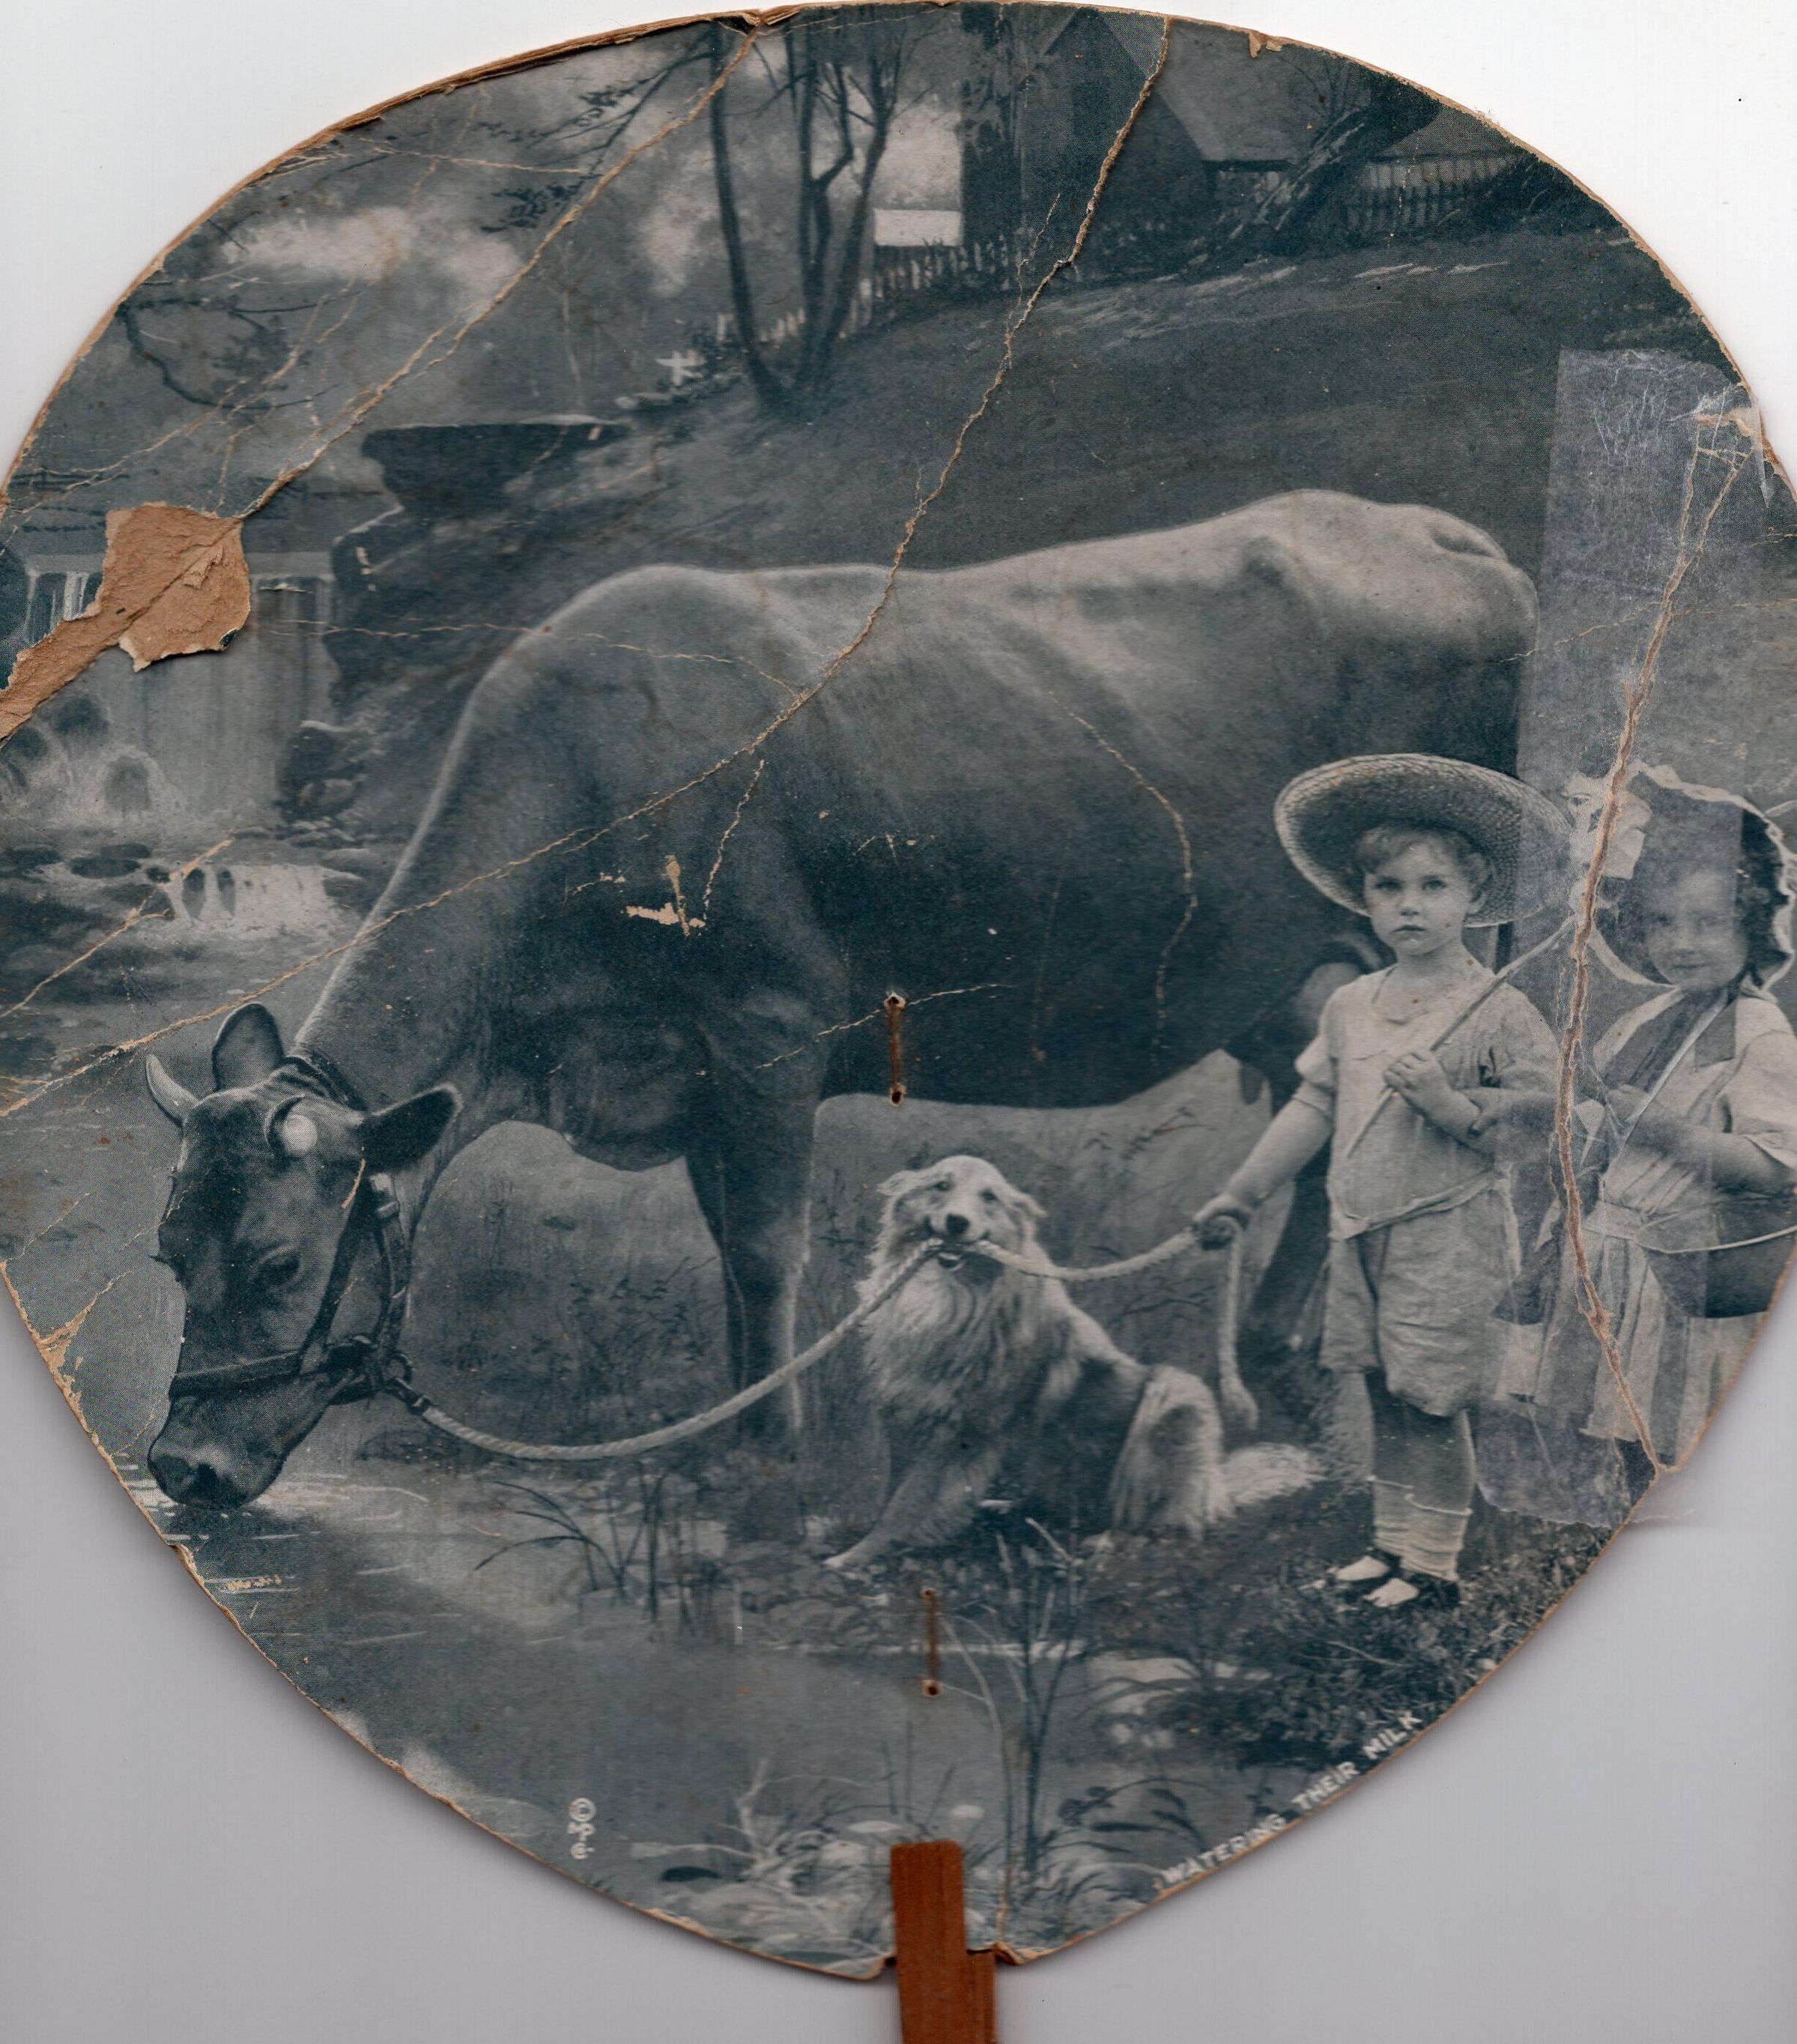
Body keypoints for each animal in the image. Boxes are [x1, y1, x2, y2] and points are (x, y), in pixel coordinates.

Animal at [142, 490, 1534, 1508]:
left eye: (278, 1258)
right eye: (167, 1250)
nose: (179, 1467)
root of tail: (1434, 529)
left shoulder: (764, 1028)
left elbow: (765, 1244)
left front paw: (769, 1445)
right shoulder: (690, 1069)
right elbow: (724, 1241)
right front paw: (734, 1413)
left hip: (1451, 930)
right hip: (1271, 968)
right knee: (1322, 1096)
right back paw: (1282, 1335)